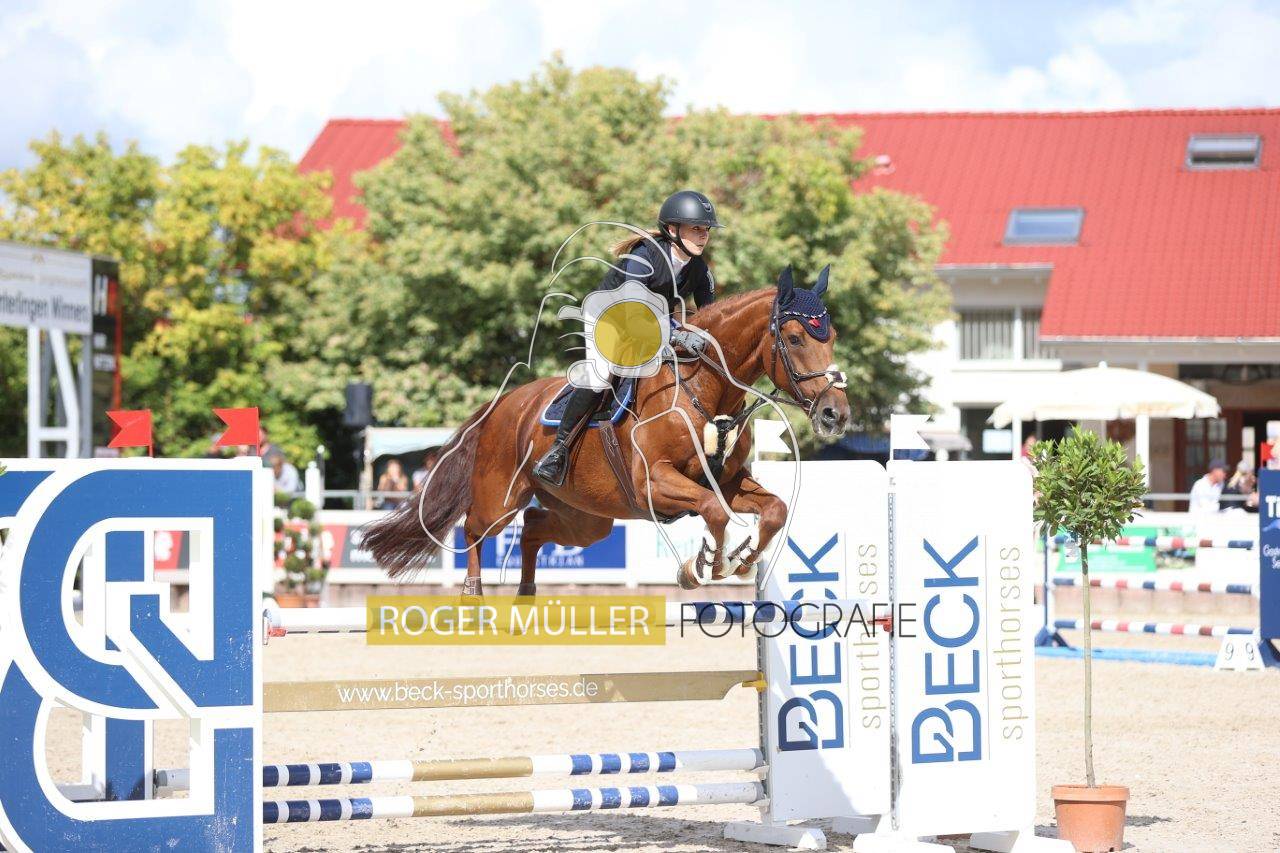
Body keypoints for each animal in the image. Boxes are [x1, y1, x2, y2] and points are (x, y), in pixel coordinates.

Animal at [362, 266, 851, 594]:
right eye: (794, 339)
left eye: (831, 337)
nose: (836, 415)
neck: (705, 392)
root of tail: (505, 403)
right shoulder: (655, 482)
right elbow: (713, 511)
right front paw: (703, 565)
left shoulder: (727, 481)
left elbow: (773, 511)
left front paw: (738, 562)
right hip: (501, 496)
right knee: (474, 528)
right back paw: (474, 594)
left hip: (586, 516)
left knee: (536, 527)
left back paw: (526, 593)